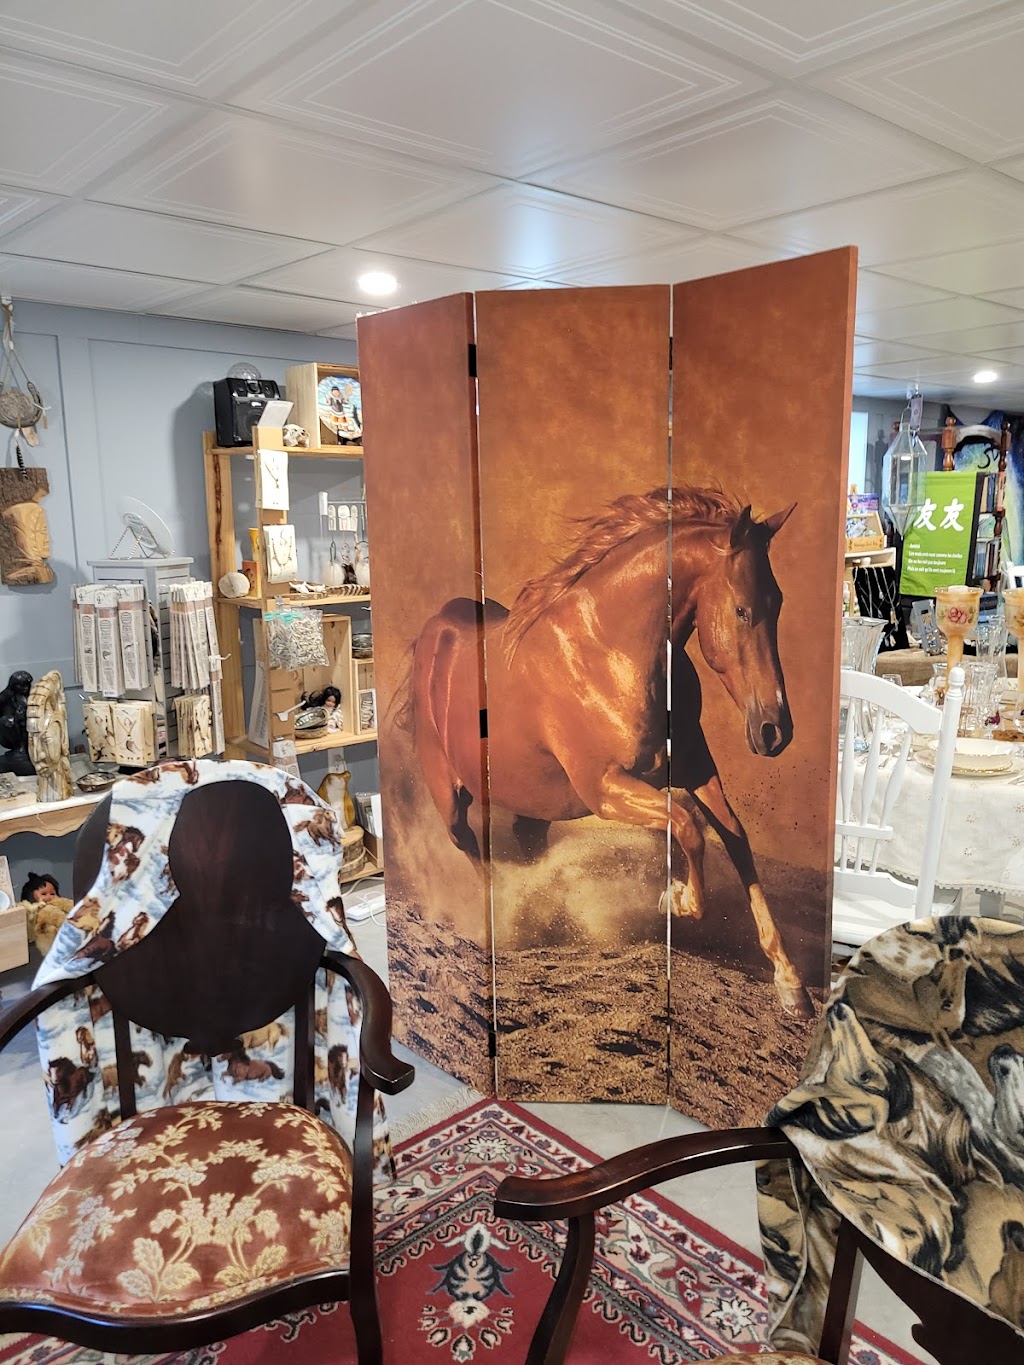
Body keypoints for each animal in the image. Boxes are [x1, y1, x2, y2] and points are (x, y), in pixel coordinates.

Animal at [409, 486, 811, 1017]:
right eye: (742, 609)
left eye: (779, 602)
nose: (774, 730)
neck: (611, 651)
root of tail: (435, 629)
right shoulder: (606, 788)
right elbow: (688, 826)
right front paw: (676, 899)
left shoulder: (694, 768)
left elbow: (735, 839)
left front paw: (790, 982)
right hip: (451, 800)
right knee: (474, 852)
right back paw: (507, 917)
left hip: (536, 807)